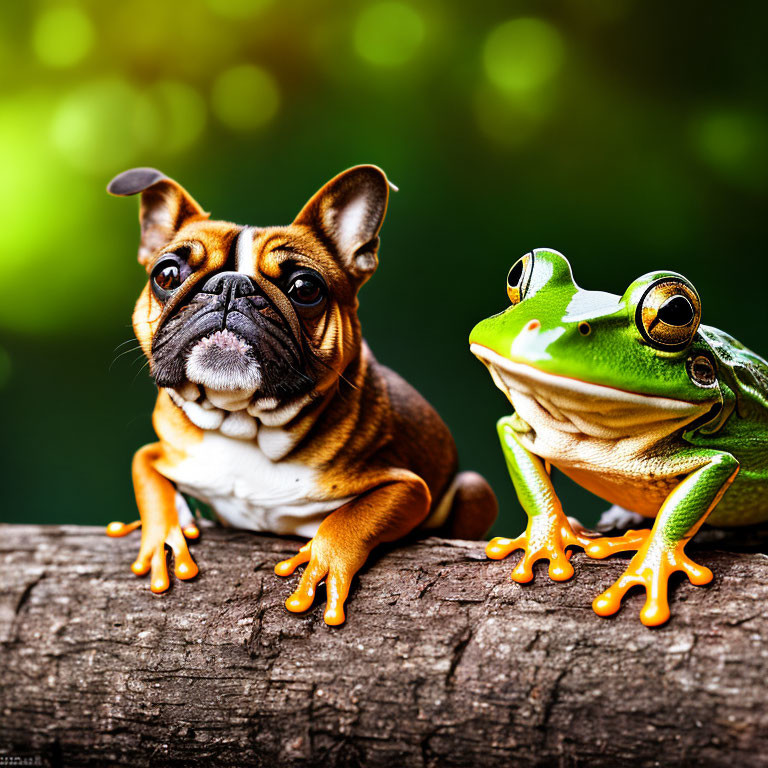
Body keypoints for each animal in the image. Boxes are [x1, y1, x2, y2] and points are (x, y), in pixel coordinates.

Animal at [105, 166, 498, 624]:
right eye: (166, 275)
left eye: (304, 288)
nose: (230, 286)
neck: (242, 423)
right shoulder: (166, 449)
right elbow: (145, 472)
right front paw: (161, 536)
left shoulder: (406, 487)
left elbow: (355, 516)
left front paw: (324, 559)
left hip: (473, 490)